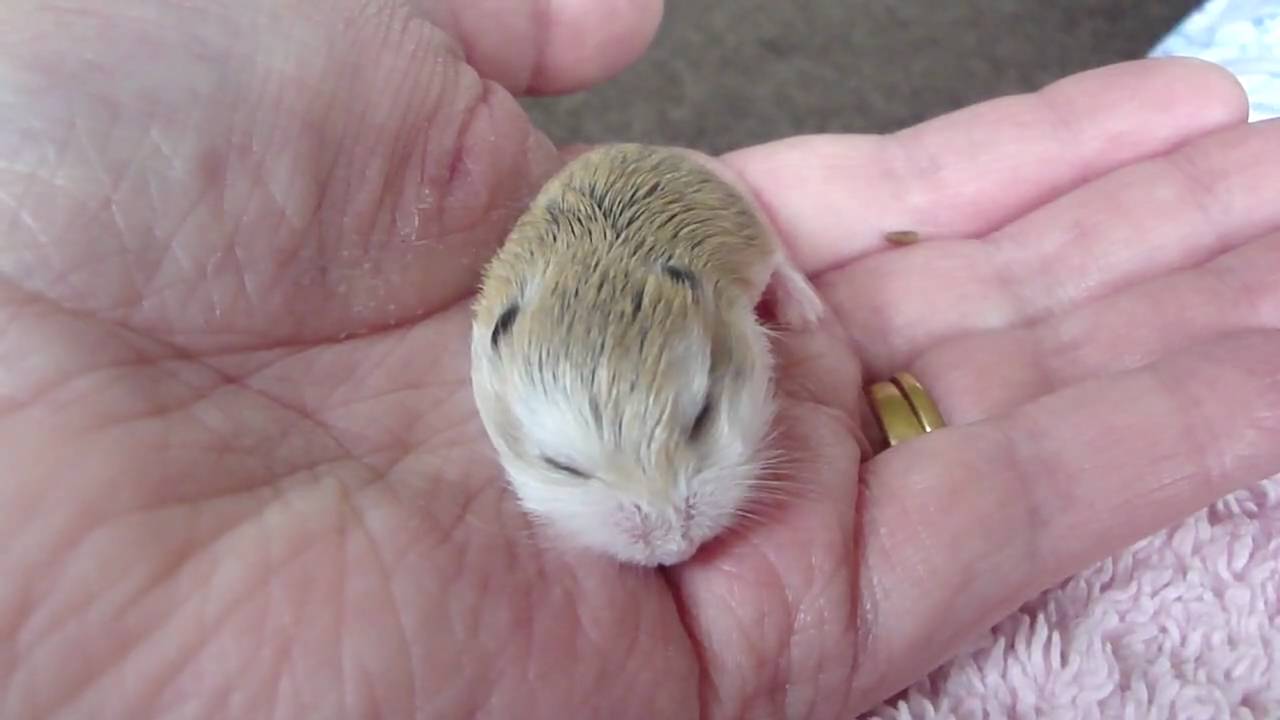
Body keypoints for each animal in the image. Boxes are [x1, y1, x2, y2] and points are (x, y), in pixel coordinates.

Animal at [469, 143, 824, 567]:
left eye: (703, 416)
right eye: (562, 466)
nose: (676, 551)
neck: (596, 274)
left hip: (749, 227)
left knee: (780, 258)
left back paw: (807, 314)